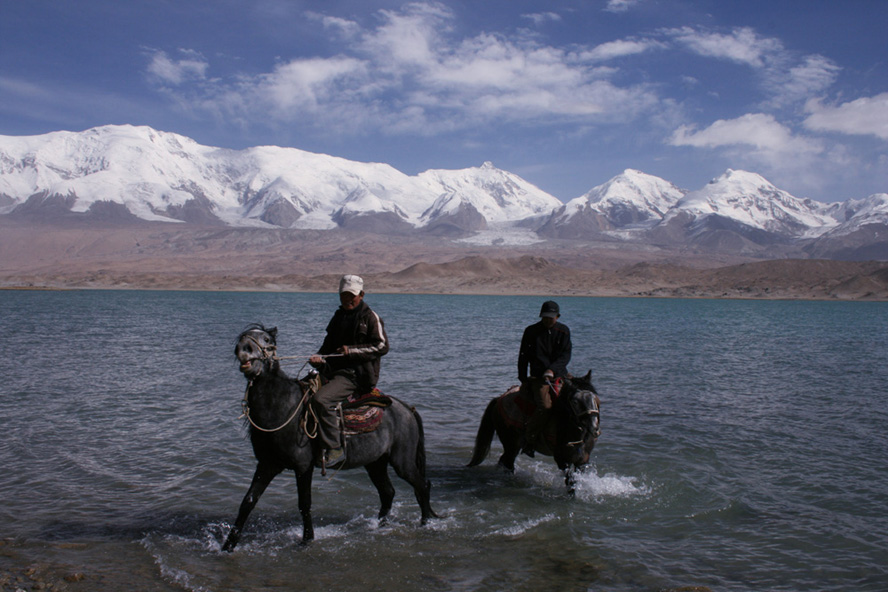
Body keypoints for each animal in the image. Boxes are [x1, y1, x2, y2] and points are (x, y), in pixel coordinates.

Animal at [222, 324, 438, 552]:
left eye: (266, 340)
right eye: (243, 337)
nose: (243, 349)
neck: (282, 406)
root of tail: (406, 408)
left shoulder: (303, 466)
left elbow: (304, 504)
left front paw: (307, 539)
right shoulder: (267, 464)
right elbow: (248, 501)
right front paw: (228, 545)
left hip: (402, 463)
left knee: (422, 485)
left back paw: (425, 523)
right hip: (375, 463)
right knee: (388, 492)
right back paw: (381, 526)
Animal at [468, 372, 600, 492]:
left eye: (595, 398)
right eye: (575, 402)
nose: (594, 427)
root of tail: (498, 399)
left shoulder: (582, 460)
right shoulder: (561, 459)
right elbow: (570, 483)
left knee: (504, 461)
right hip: (510, 444)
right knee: (507, 461)